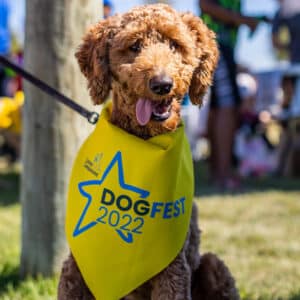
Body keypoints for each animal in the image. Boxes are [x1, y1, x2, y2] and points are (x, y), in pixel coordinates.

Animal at [57, 3, 240, 298]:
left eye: (175, 45)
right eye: (134, 46)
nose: (162, 84)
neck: (143, 142)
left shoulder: (173, 269)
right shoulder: (76, 267)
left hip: (214, 264)